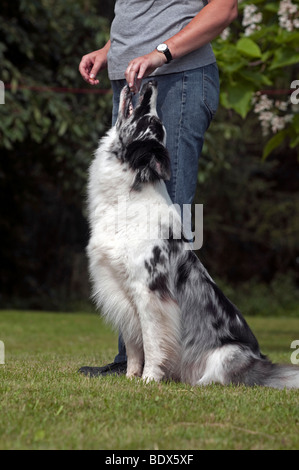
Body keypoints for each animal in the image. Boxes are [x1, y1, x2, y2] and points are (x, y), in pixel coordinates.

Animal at [86, 81, 299, 390]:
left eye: (150, 121)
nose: (151, 83)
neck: (127, 196)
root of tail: (260, 364)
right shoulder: (120, 290)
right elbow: (134, 345)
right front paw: (130, 377)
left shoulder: (149, 292)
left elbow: (152, 342)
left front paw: (149, 379)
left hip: (227, 352)